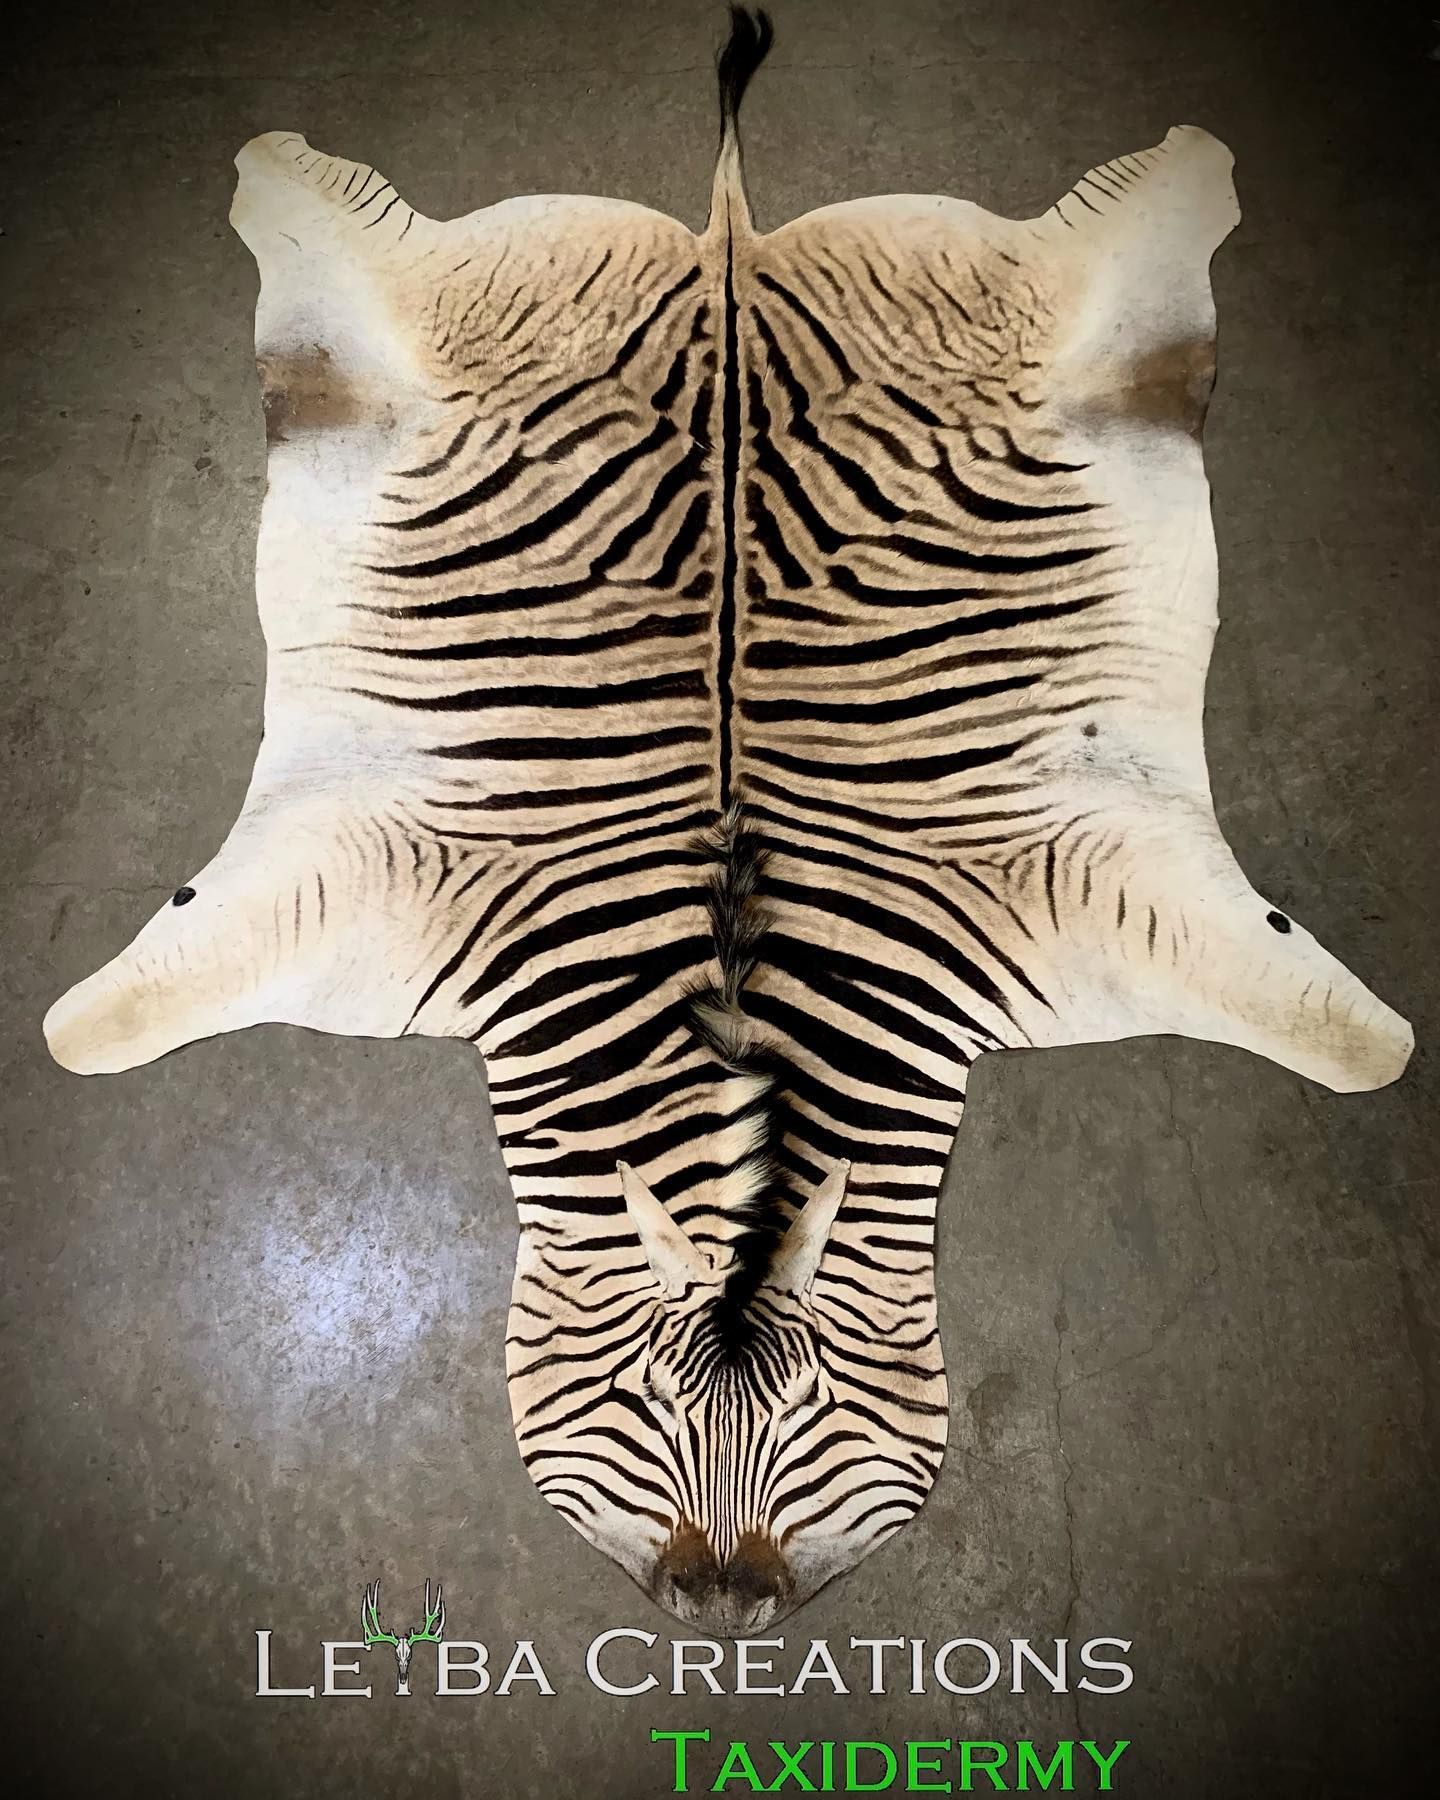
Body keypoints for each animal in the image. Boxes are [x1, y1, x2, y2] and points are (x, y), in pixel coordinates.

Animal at [44, 8, 1410, 1634]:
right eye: (636, 1411)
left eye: (822, 1420)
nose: (722, 1605)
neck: (738, 984)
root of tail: (730, 248)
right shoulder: (385, 879)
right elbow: (117, 1017)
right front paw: (74, 1025)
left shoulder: (1077, 883)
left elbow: (1345, 1040)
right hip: (437, 319)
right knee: (337, 242)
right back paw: (275, 170)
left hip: (1033, 318)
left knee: (1145, 237)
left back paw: (1193, 167)